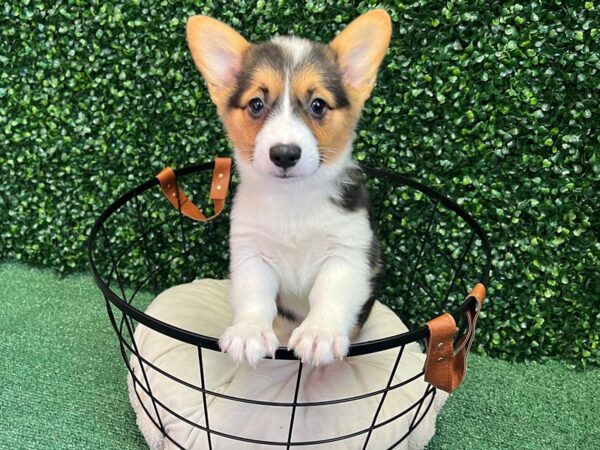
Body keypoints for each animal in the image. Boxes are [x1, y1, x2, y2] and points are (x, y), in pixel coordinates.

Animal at [188, 9, 392, 366]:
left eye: (318, 105)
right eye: (256, 104)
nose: (284, 154)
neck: (292, 199)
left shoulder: (347, 254)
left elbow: (329, 293)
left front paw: (319, 333)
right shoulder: (251, 255)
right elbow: (254, 297)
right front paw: (249, 332)